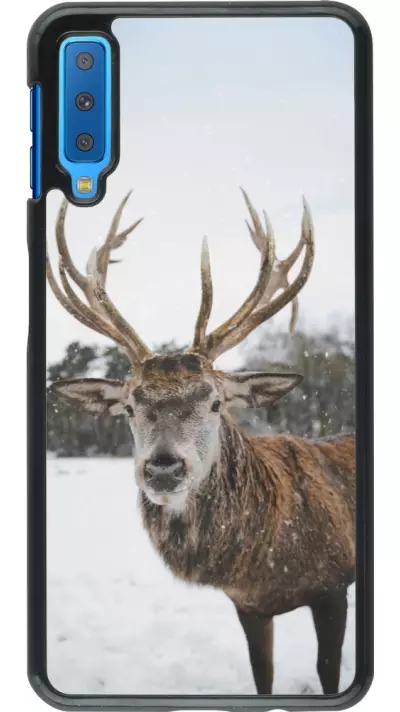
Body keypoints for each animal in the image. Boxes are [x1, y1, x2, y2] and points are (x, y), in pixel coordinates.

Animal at [47, 189, 355, 695]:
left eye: (214, 401)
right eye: (129, 407)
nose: (163, 468)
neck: (266, 563)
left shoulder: (333, 586)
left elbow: (328, 671)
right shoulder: (248, 605)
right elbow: (262, 676)